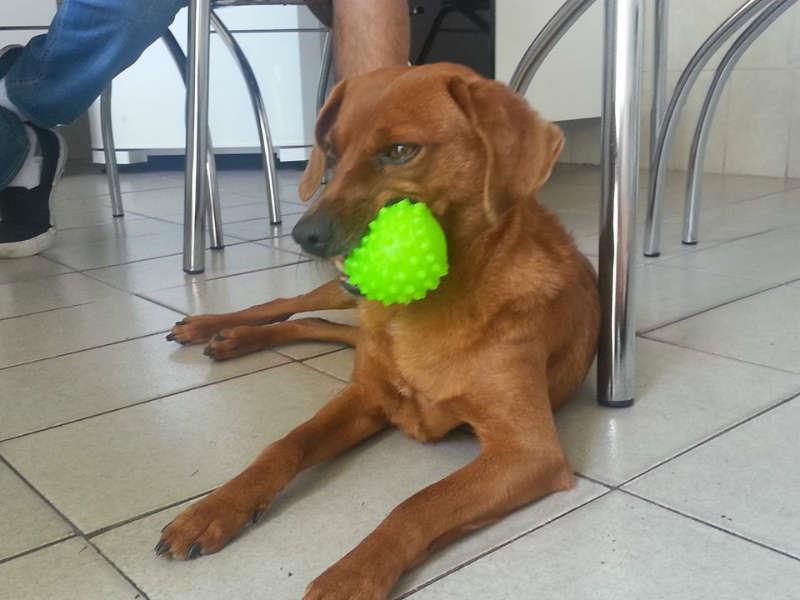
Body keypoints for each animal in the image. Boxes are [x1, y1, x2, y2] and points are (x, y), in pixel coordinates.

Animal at [158, 63, 600, 600]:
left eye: (400, 150)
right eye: (331, 151)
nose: (303, 236)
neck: (419, 313)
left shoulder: (530, 450)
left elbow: (418, 504)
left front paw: (351, 574)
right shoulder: (364, 397)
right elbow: (285, 445)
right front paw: (216, 507)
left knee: (317, 324)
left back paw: (232, 340)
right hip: (336, 293)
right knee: (290, 307)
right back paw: (213, 328)